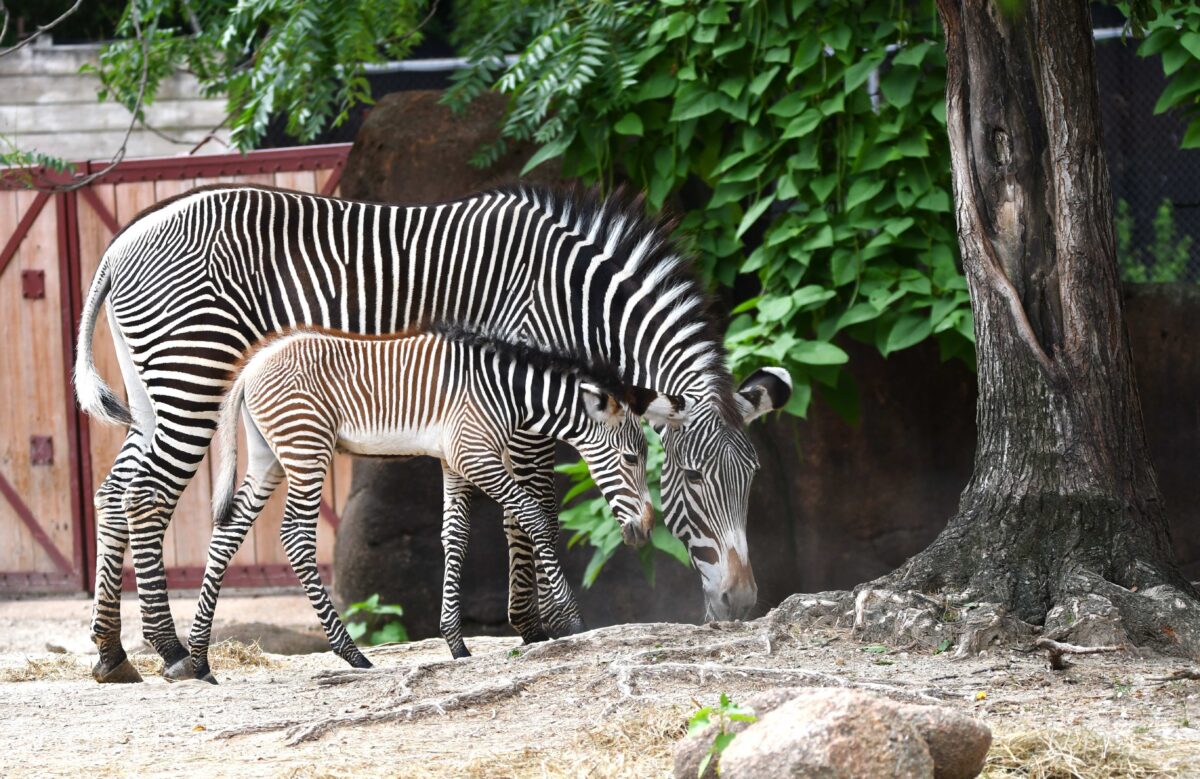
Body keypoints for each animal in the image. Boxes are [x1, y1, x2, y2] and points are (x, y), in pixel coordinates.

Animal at [186, 325, 681, 679]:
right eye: (633, 458)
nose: (645, 531)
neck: (505, 391)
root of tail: (252, 366)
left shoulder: (454, 460)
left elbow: (455, 537)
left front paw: (455, 642)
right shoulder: (475, 455)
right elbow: (534, 517)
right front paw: (571, 622)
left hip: (269, 456)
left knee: (228, 532)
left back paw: (199, 661)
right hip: (306, 448)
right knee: (294, 537)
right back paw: (352, 654)